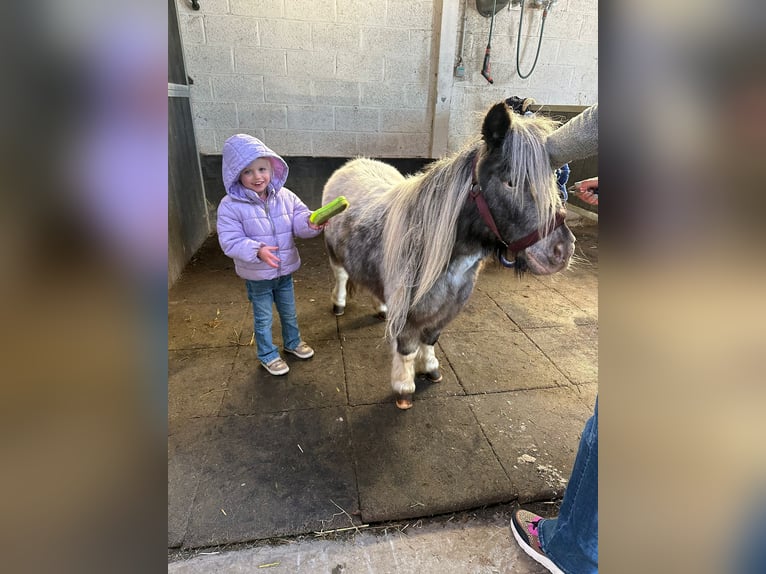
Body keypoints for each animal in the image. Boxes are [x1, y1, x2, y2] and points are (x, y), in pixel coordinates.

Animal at [321, 101, 575, 409]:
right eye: (510, 182)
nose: (562, 250)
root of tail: (353, 163)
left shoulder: (448, 308)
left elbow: (430, 339)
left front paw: (430, 369)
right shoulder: (408, 310)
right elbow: (406, 346)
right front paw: (404, 387)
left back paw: (380, 309)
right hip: (334, 255)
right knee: (341, 276)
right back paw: (338, 304)